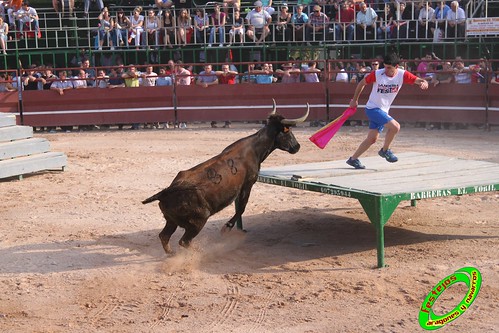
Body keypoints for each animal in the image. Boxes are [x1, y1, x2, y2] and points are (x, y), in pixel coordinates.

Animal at [142, 100, 308, 253]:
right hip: (198, 221)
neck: (254, 149)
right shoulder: (248, 184)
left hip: (171, 221)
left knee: (164, 236)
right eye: (287, 131)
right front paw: (226, 228)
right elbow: (241, 208)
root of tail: (165, 192)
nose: (297, 146)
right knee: (184, 241)